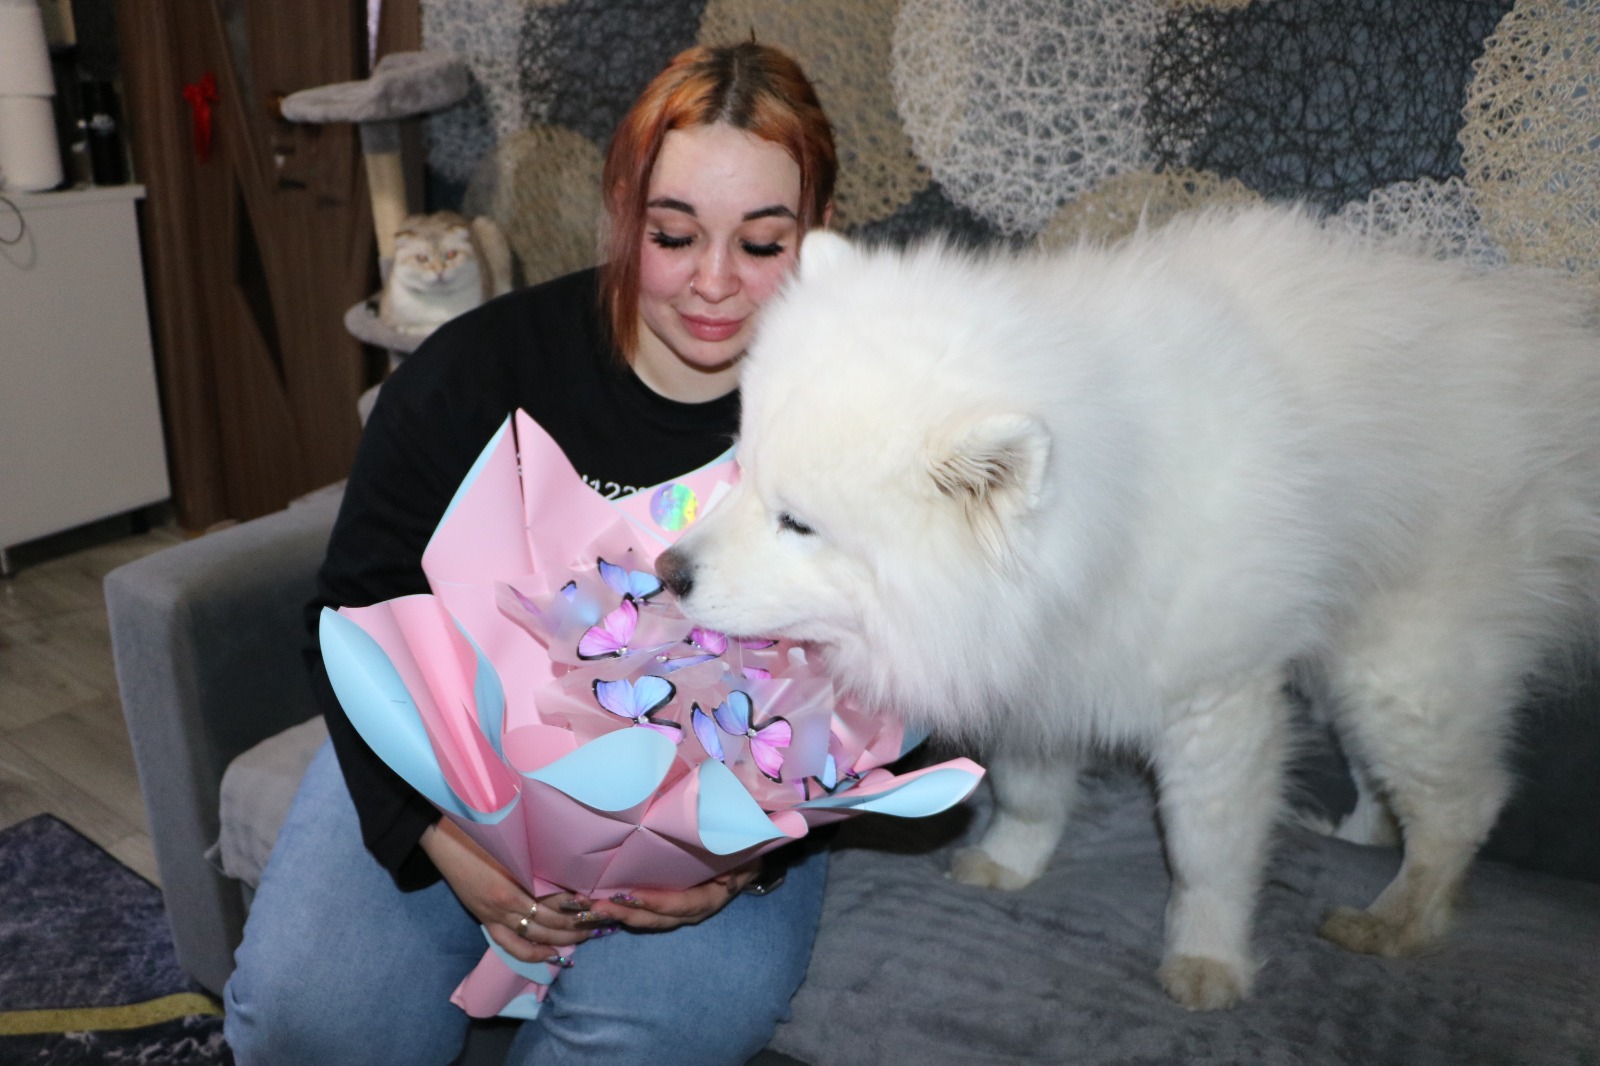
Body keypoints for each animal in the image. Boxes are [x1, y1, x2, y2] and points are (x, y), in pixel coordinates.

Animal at [656, 206, 1600, 1010]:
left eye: (798, 523)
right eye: (741, 465)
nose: (668, 571)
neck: (1113, 508)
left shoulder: (1215, 703)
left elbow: (1205, 854)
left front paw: (1208, 960)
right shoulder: (1041, 666)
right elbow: (1031, 792)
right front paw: (1008, 862)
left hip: (1403, 666)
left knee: (1461, 804)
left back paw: (1396, 916)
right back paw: (1362, 833)